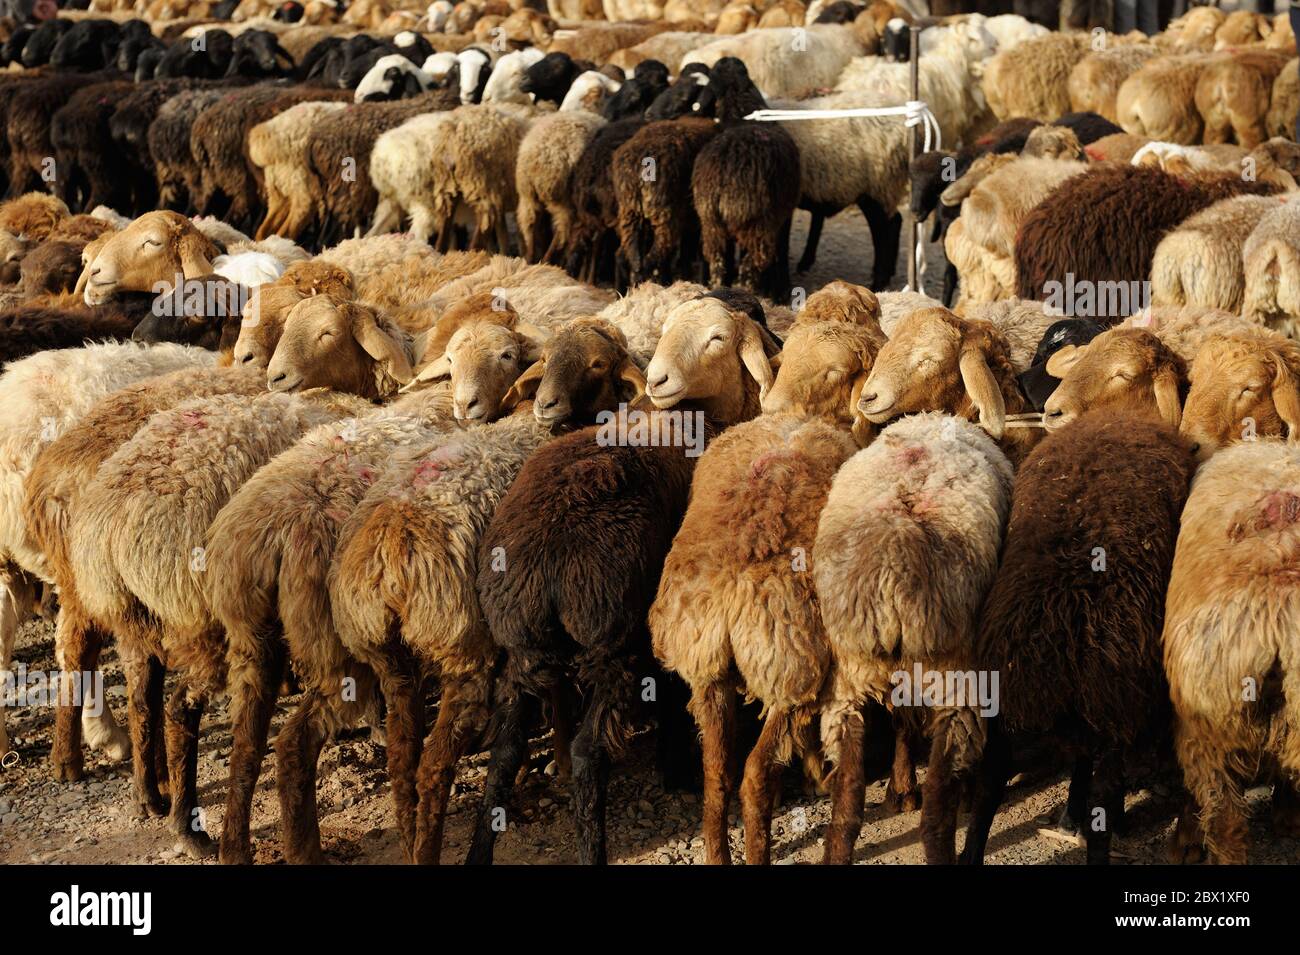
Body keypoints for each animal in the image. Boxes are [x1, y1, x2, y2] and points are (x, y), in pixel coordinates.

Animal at [330, 317, 644, 862]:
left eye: (505, 355)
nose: (467, 405)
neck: (525, 420)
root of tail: (391, 548)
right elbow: (556, 690)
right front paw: (561, 760)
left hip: (386, 657)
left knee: (402, 759)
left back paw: (409, 839)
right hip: (462, 651)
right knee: (434, 763)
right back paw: (428, 848)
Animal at [811, 415, 1013, 862]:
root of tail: (894, 555)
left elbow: (902, 723)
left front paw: (900, 789)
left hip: (849, 677)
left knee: (846, 808)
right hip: (956, 677)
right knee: (937, 813)